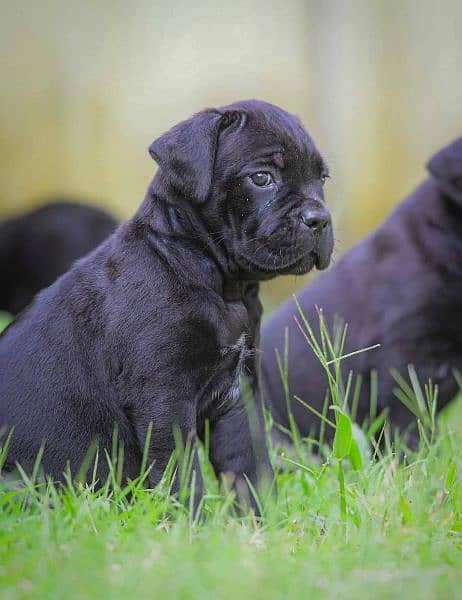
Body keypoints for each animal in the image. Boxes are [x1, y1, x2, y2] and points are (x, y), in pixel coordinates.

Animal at [0, 99, 332, 506]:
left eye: (322, 179)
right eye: (261, 178)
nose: (320, 219)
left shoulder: (237, 398)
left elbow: (249, 467)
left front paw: (260, 518)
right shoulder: (164, 399)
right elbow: (182, 476)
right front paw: (192, 520)